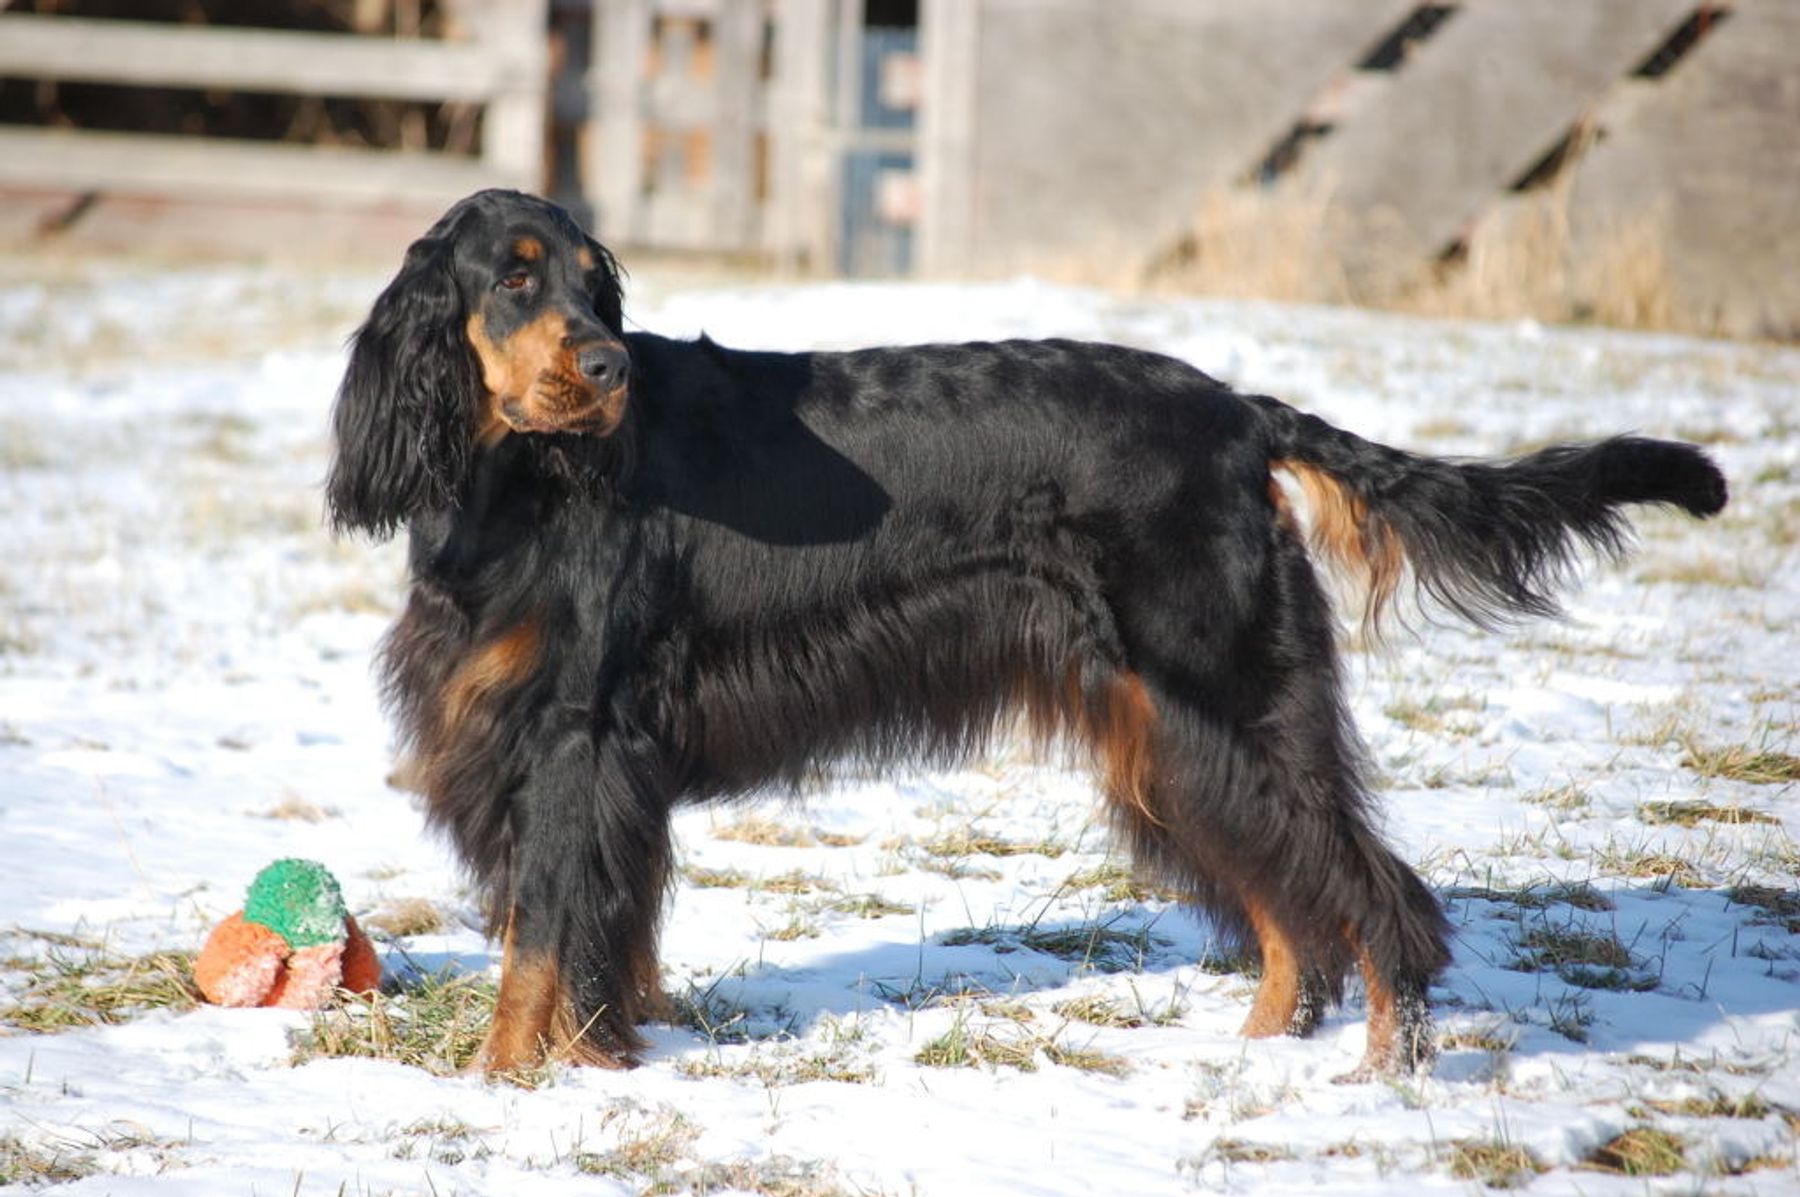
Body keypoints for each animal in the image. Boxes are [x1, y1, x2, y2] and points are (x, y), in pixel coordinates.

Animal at [327, 187, 1728, 1072]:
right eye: (514, 277)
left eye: (596, 287)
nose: (608, 367)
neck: (518, 480)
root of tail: (1241, 415)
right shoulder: (564, 755)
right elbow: (593, 937)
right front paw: (601, 1058)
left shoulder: (575, 737)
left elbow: (542, 938)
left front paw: (508, 1084)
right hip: (1167, 729)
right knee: (1290, 900)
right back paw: (1262, 1059)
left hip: (1216, 695)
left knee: (1367, 891)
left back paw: (1382, 1074)